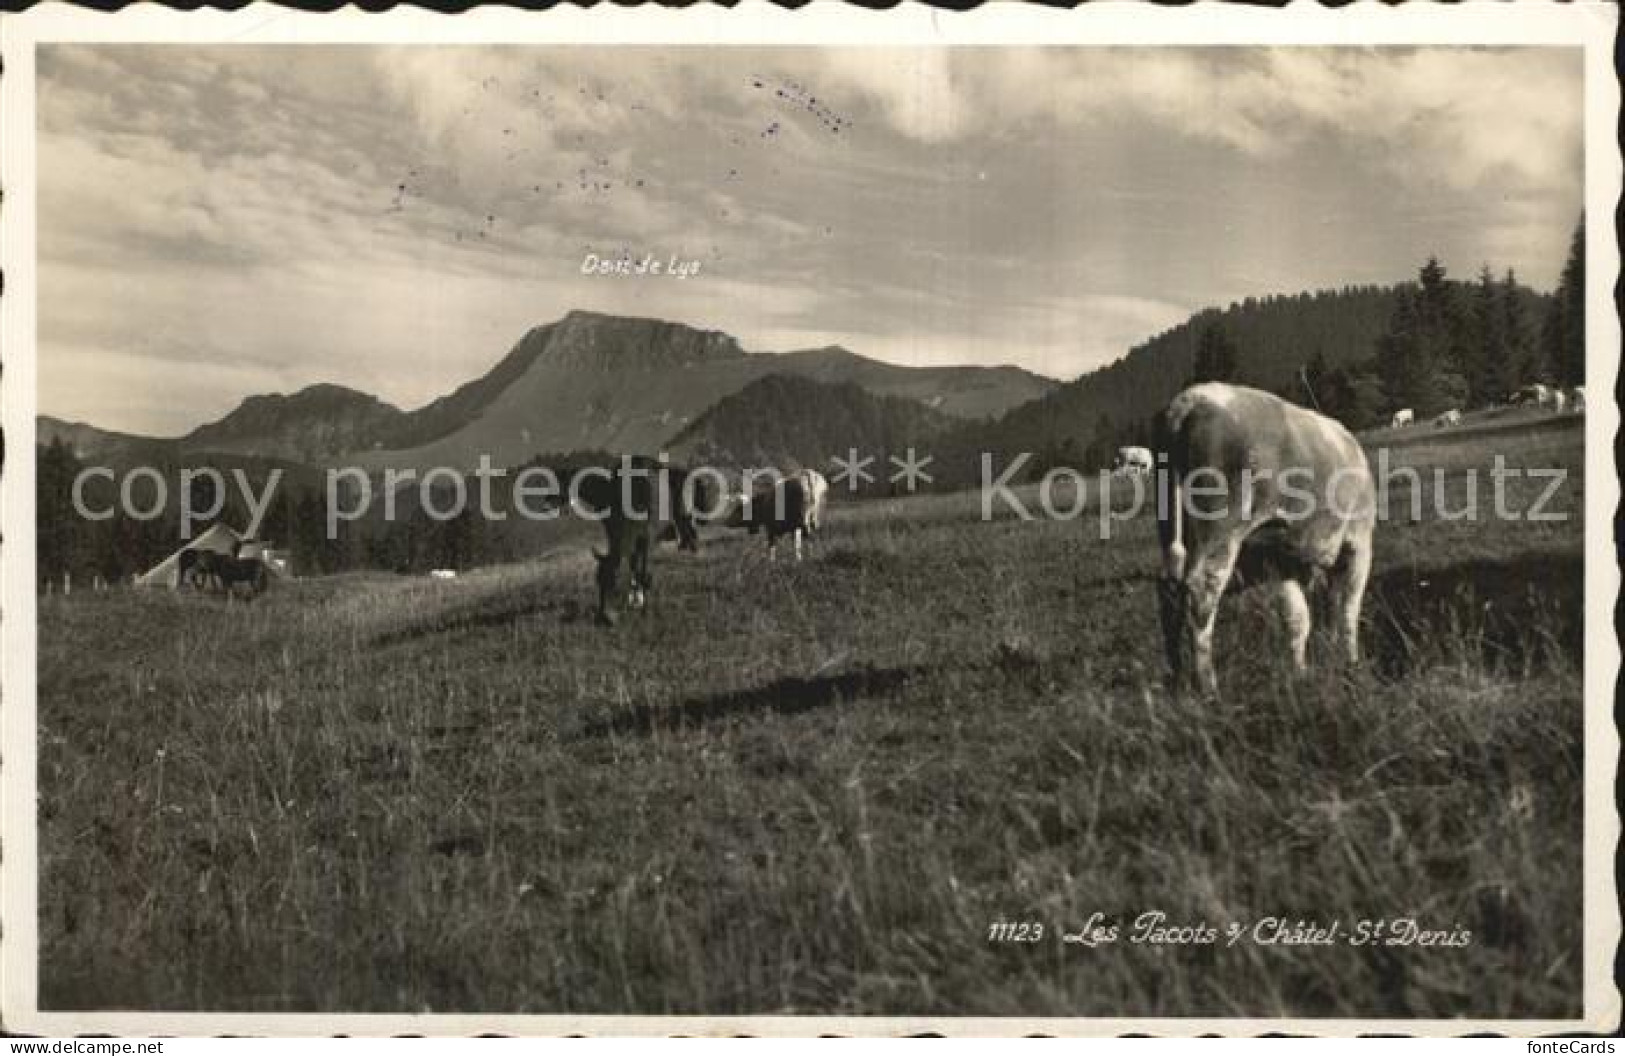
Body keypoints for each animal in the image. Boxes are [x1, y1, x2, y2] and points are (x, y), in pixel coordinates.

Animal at [575, 454, 702, 620]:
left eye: (614, 585)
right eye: (598, 582)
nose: (604, 618)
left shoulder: (649, 537)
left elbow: (644, 574)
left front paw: (645, 610)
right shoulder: (620, 536)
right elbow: (634, 568)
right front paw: (635, 600)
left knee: (686, 523)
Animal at [1150, 381, 1378, 695]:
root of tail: (1190, 399)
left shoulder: (1283, 559)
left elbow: (1299, 619)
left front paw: (1302, 673)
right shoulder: (1359, 543)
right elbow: (1347, 610)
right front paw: (1350, 664)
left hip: (1172, 528)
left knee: (1169, 588)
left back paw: (1178, 678)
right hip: (1222, 526)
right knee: (1201, 590)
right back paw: (1208, 687)